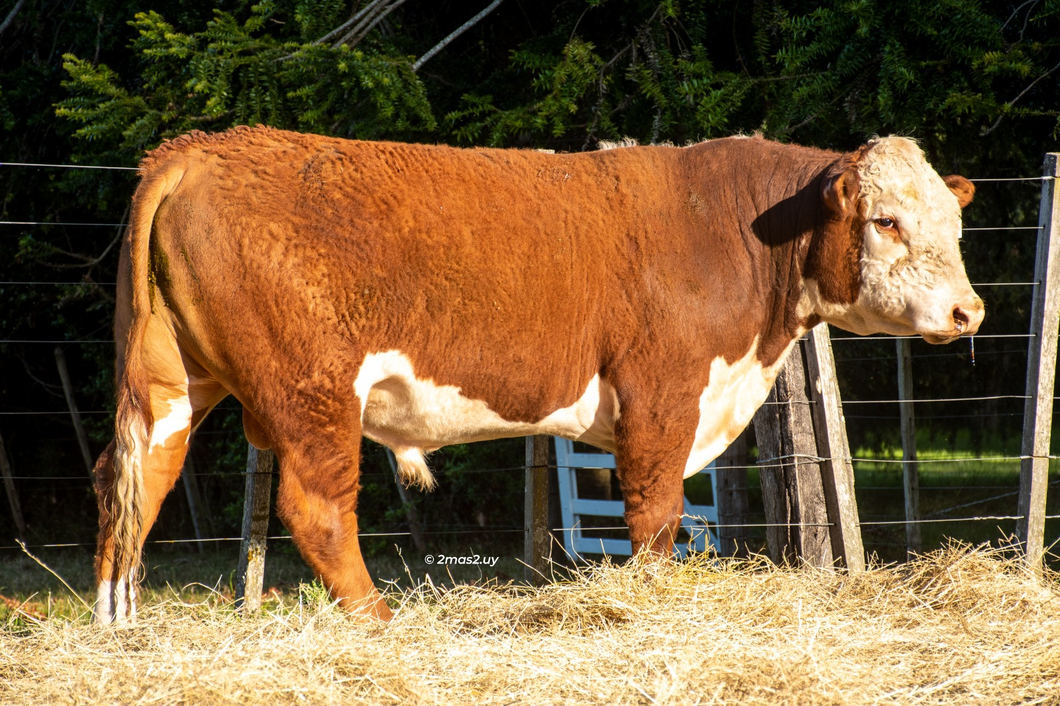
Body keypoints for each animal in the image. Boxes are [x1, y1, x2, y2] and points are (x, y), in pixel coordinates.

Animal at [93, 126, 983, 623]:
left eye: (955, 223)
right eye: (885, 221)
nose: (968, 310)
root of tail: (197, 151)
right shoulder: (660, 394)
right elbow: (655, 514)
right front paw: (647, 601)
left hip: (175, 382)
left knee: (134, 478)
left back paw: (119, 621)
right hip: (313, 393)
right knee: (315, 509)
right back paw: (378, 618)